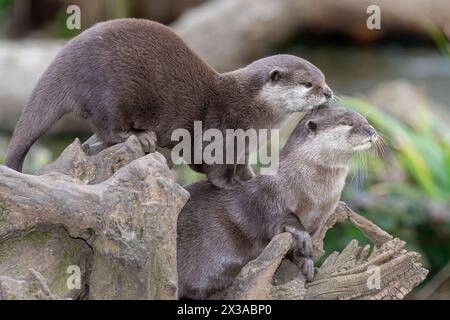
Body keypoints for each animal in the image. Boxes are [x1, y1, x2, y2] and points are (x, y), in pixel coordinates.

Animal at [5, 18, 332, 188]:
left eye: (323, 77)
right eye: (307, 83)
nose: (328, 92)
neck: (251, 112)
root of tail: (64, 59)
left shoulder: (243, 148)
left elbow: (240, 165)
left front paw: (250, 177)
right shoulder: (219, 135)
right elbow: (213, 169)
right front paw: (232, 185)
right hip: (109, 92)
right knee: (107, 127)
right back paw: (138, 136)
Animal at [176, 106, 376, 298]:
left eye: (365, 120)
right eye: (346, 122)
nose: (371, 130)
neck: (314, 197)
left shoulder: (318, 222)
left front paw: (308, 264)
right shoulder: (270, 195)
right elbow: (281, 218)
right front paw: (302, 239)